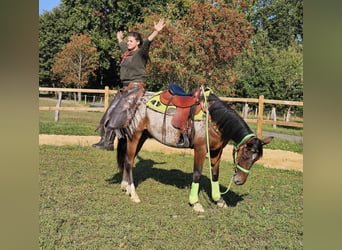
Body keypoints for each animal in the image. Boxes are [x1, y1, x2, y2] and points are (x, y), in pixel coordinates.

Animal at [114, 87, 272, 212]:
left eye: (256, 160)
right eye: (245, 156)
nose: (239, 181)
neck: (213, 118)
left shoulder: (217, 150)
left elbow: (215, 174)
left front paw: (218, 200)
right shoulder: (201, 149)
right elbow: (197, 174)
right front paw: (195, 203)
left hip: (143, 136)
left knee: (128, 160)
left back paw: (125, 186)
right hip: (135, 135)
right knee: (129, 162)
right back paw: (133, 193)